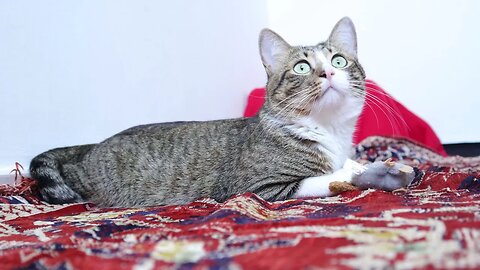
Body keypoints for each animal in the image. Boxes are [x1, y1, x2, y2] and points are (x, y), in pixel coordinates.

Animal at [29, 17, 368, 207]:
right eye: (301, 67)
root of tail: (92, 147)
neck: (326, 129)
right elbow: (318, 180)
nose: (328, 73)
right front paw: (350, 172)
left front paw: (360, 163)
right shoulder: (255, 187)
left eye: (338, 61)